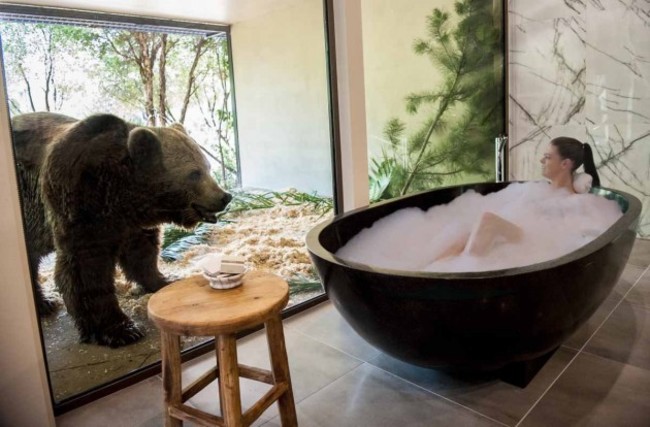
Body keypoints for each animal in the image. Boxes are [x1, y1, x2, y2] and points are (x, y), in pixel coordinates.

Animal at [12, 112, 232, 347]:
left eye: (207, 167)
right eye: (194, 173)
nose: (224, 196)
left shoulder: (130, 223)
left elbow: (142, 253)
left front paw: (164, 279)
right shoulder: (81, 208)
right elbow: (86, 271)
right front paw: (122, 329)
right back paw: (45, 303)